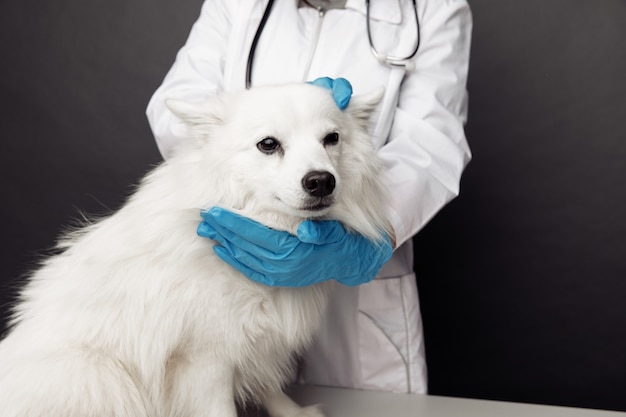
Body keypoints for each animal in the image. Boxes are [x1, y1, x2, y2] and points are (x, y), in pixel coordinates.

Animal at [0, 83, 388, 414]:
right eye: (268, 144)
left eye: (331, 139)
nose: (321, 181)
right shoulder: (204, 361)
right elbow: (220, 409)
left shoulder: (258, 342)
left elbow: (269, 387)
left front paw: (294, 413)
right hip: (102, 377)